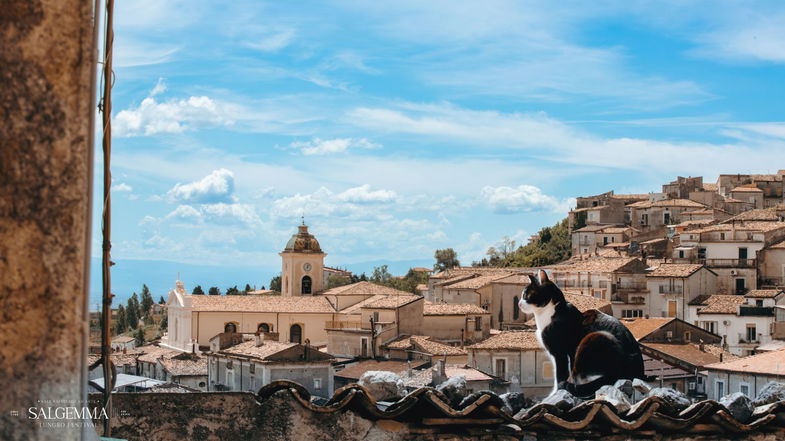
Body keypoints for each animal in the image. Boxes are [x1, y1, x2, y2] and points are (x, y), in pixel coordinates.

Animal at [516, 268, 640, 398]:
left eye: (527, 295)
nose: (519, 303)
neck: (551, 312)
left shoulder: (560, 352)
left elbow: (560, 375)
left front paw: (556, 392)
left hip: (595, 338)